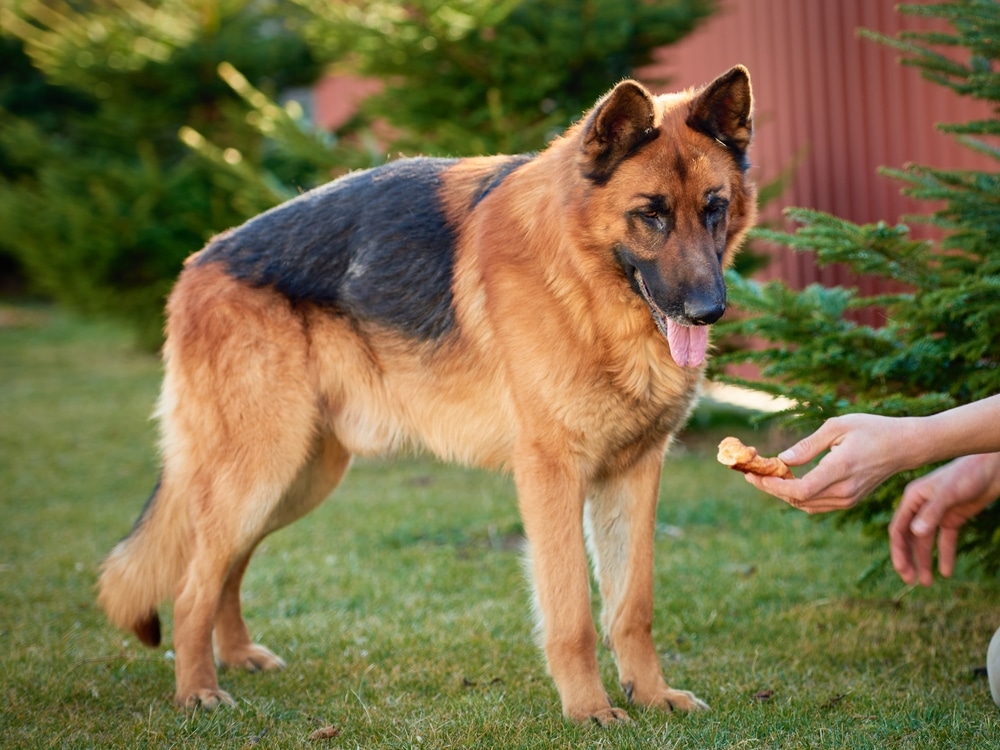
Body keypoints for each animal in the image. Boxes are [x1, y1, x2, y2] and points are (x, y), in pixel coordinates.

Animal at [101, 67, 756, 724]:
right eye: (651, 214)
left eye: (715, 209)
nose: (708, 311)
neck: (580, 277)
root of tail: (197, 263)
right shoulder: (553, 478)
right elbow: (571, 612)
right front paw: (587, 709)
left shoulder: (634, 474)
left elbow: (633, 607)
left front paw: (650, 694)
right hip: (260, 472)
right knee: (191, 586)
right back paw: (197, 689)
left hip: (294, 481)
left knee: (226, 568)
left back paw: (235, 656)